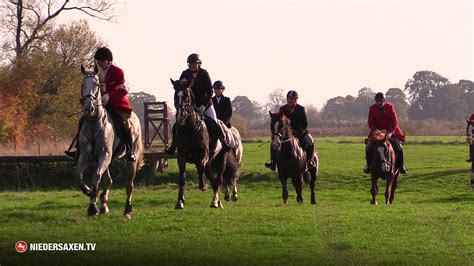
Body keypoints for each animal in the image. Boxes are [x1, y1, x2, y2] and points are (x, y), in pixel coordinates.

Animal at [74, 65, 143, 219]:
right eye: (82, 85)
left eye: (96, 84)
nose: (88, 108)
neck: (94, 122)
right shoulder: (86, 156)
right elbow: (79, 176)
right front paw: (88, 191)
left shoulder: (104, 155)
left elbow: (95, 177)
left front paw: (92, 207)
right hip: (108, 159)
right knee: (108, 180)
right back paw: (104, 205)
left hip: (130, 158)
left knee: (129, 185)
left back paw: (127, 210)